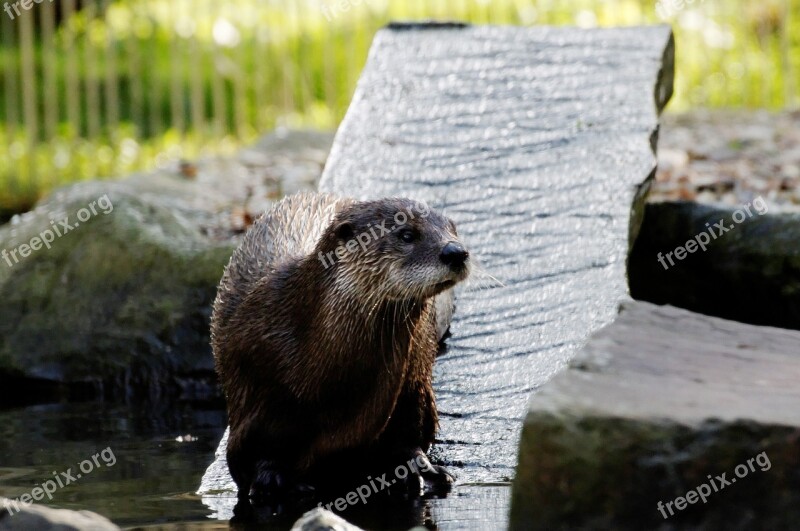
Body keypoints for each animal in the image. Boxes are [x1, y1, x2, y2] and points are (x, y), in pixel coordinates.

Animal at [211, 191, 468, 502]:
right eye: (407, 234)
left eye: (453, 229)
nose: (456, 251)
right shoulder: (255, 395)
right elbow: (253, 456)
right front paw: (275, 481)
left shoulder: (413, 383)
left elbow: (411, 435)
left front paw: (421, 468)